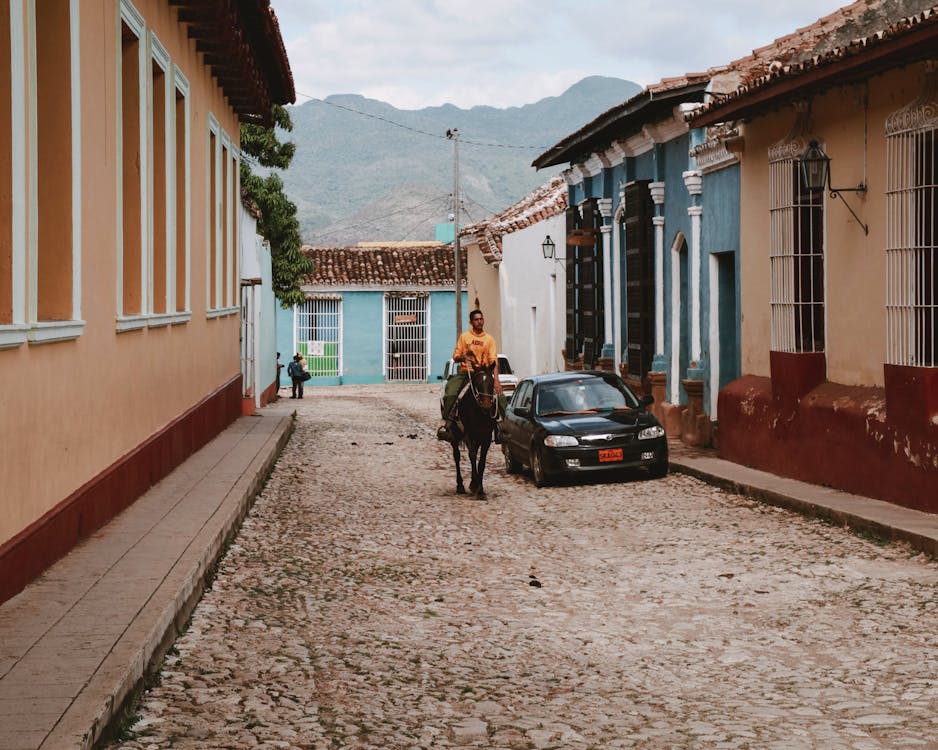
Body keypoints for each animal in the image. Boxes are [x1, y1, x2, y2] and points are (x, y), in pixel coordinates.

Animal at [448, 364, 498, 500]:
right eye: (477, 383)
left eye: (492, 382)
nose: (486, 405)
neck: (480, 413)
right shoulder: (468, 435)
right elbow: (472, 455)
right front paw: (475, 485)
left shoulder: (486, 437)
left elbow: (481, 462)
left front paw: (480, 490)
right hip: (455, 435)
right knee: (457, 456)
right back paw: (460, 486)